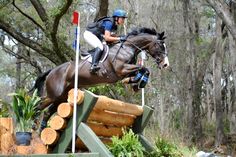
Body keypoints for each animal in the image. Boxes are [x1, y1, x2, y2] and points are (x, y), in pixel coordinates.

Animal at [33, 27, 170, 129]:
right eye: (160, 46)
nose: (165, 64)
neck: (127, 47)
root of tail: (52, 70)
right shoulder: (121, 69)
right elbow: (142, 68)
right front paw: (139, 83)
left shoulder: (124, 72)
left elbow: (144, 70)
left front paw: (136, 83)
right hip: (54, 94)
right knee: (38, 106)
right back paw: (33, 126)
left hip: (62, 96)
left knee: (48, 111)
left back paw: (41, 130)